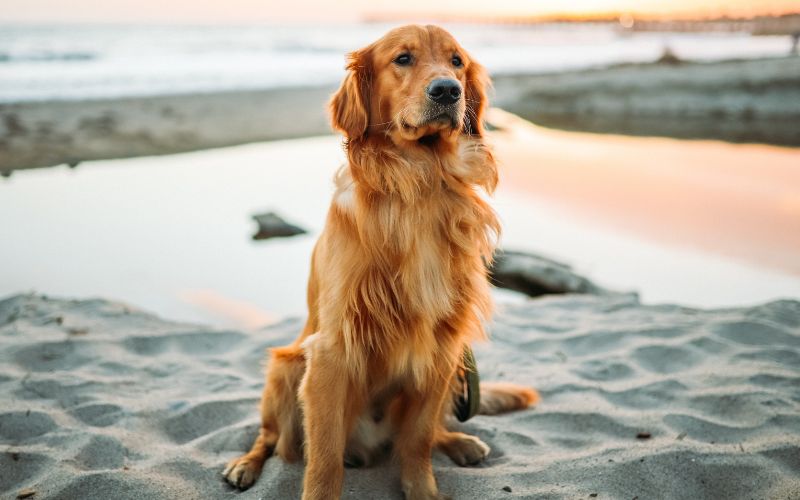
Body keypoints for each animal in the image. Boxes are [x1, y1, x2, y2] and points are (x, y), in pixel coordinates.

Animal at [222, 24, 540, 500]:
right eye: (402, 59)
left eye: (457, 62)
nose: (447, 90)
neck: (421, 182)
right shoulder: (332, 350)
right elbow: (324, 459)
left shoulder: (443, 345)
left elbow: (418, 439)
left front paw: (423, 489)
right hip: (286, 367)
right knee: (270, 437)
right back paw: (245, 465)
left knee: (428, 432)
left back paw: (459, 441)